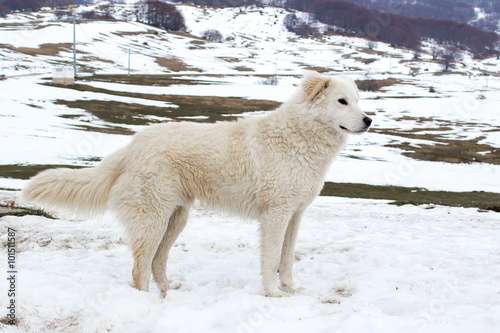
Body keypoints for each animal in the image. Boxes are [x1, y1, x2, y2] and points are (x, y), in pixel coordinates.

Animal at [20, 72, 372, 296]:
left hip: (176, 219)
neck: (300, 136)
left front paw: (291, 289)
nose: (369, 120)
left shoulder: (295, 215)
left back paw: (168, 293)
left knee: (157, 262)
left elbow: (286, 260)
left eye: (357, 100)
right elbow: (271, 259)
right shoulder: (275, 215)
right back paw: (146, 301)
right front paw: (273, 294)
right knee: (140, 267)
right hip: (153, 219)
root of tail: (132, 146)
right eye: (342, 101)